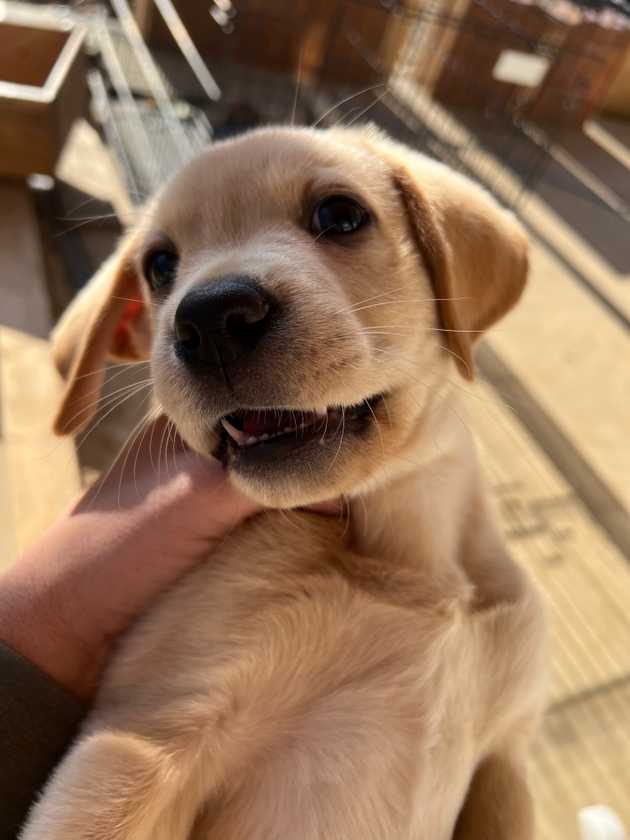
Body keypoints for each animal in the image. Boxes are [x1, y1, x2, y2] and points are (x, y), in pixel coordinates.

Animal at [21, 126, 548, 840]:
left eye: (341, 215)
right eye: (159, 266)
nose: (210, 318)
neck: (405, 540)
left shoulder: (507, 762)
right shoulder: (142, 738)